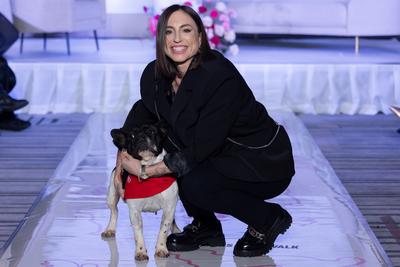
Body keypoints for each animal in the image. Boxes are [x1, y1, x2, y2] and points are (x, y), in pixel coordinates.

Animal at [101, 124, 180, 262]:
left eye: (152, 131)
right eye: (132, 136)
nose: (142, 137)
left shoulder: (169, 206)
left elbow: (164, 228)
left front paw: (161, 248)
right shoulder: (135, 211)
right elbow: (138, 232)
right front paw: (141, 251)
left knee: (173, 219)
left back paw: (175, 229)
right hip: (112, 194)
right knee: (114, 211)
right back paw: (110, 229)